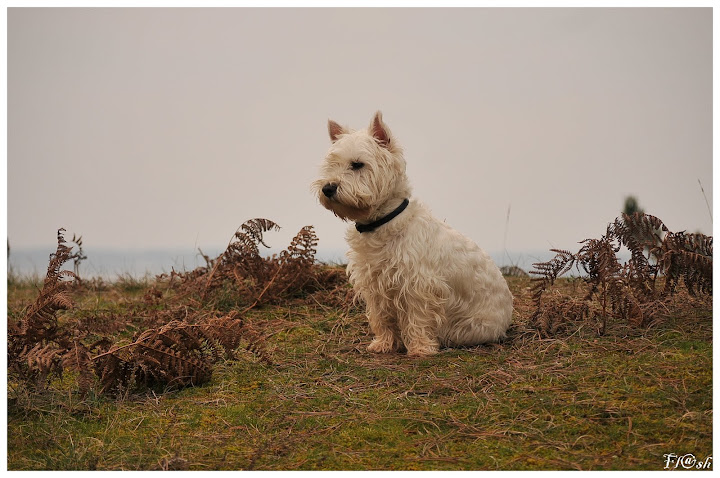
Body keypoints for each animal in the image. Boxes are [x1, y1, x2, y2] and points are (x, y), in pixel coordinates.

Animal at [316, 112, 512, 356]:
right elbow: (381, 317)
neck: (381, 224)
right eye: (332, 165)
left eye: (357, 164)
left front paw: (420, 348)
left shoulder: (418, 284)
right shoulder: (375, 284)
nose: (327, 188)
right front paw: (384, 344)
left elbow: (417, 317)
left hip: (471, 326)